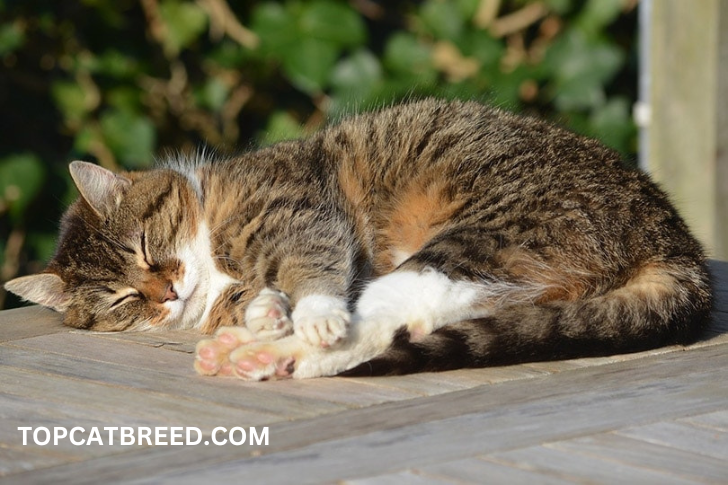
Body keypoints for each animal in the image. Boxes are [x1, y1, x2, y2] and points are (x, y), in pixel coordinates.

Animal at [4, 97, 712, 378]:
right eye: (125, 301)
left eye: (148, 249)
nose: (165, 293)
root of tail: (673, 238)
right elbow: (266, 296)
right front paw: (260, 312)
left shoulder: (300, 211)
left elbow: (313, 269)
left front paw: (298, 313)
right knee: (411, 321)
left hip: (478, 237)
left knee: (370, 322)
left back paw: (270, 353)